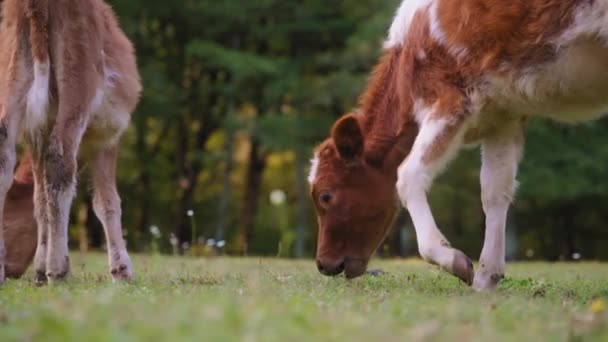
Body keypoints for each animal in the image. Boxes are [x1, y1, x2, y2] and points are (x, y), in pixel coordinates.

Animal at [0, 0, 141, 284]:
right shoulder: (107, 136)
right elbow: (108, 201)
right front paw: (122, 270)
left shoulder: (36, 136)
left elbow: (40, 200)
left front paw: (39, 270)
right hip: (79, 71)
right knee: (60, 158)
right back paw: (59, 270)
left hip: (11, 63)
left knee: (4, 156)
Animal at [308, 0, 608, 292]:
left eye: (326, 195)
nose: (322, 264)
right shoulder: (503, 114)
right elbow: (495, 190)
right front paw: (487, 278)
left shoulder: (450, 96)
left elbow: (408, 175)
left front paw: (453, 260)